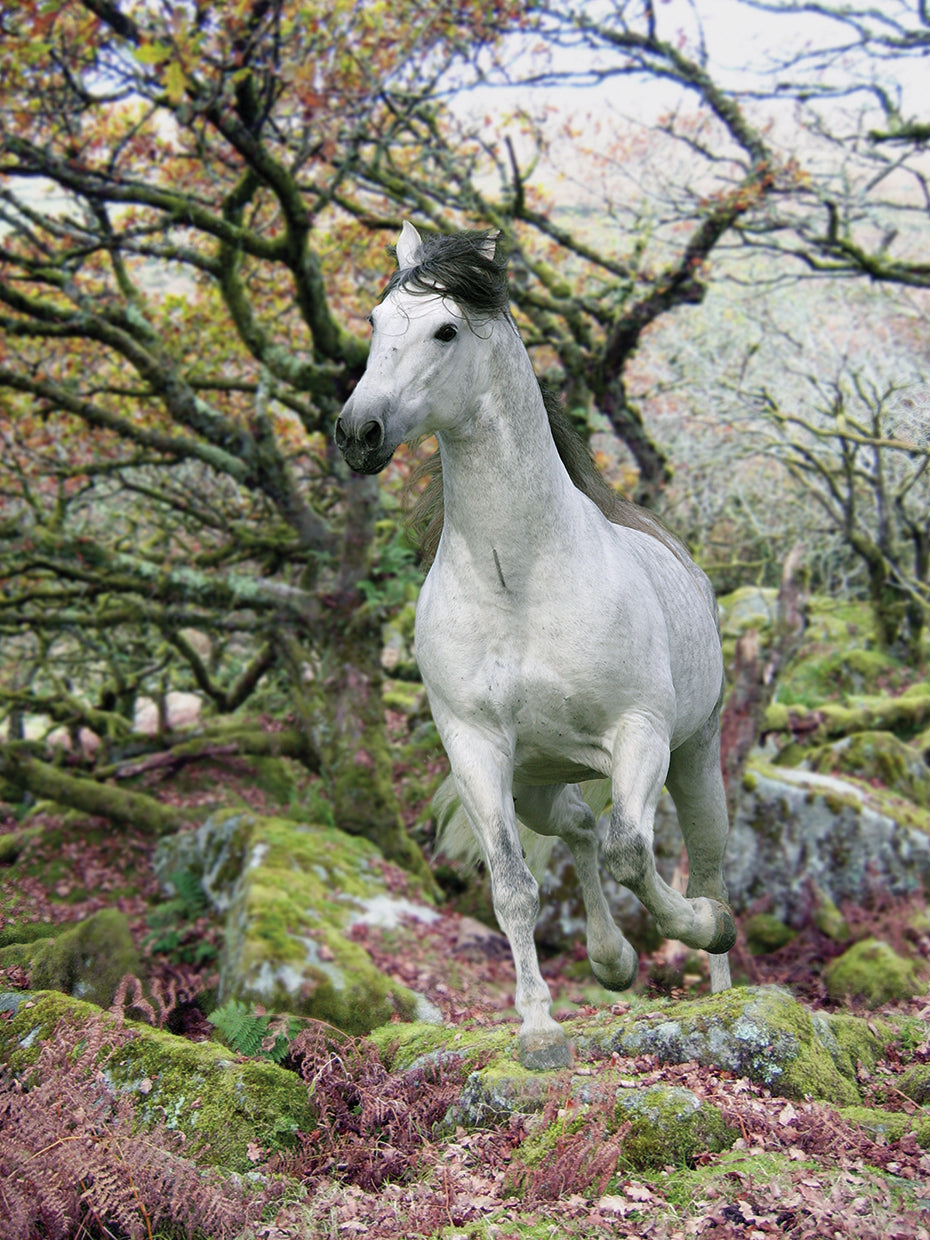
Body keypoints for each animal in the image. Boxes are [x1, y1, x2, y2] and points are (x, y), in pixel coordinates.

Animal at [335, 222, 736, 1070]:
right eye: (378, 323)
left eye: (446, 330)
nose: (359, 432)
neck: (518, 578)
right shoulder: (477, 751)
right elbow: (514, 888)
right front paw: (539, 1028)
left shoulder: (640, 736)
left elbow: (632, 853)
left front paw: (691, 932)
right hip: (539, 782)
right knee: (580, 830)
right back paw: (612, 960)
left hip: (694, 755)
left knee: (706, 863)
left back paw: (720, 976)